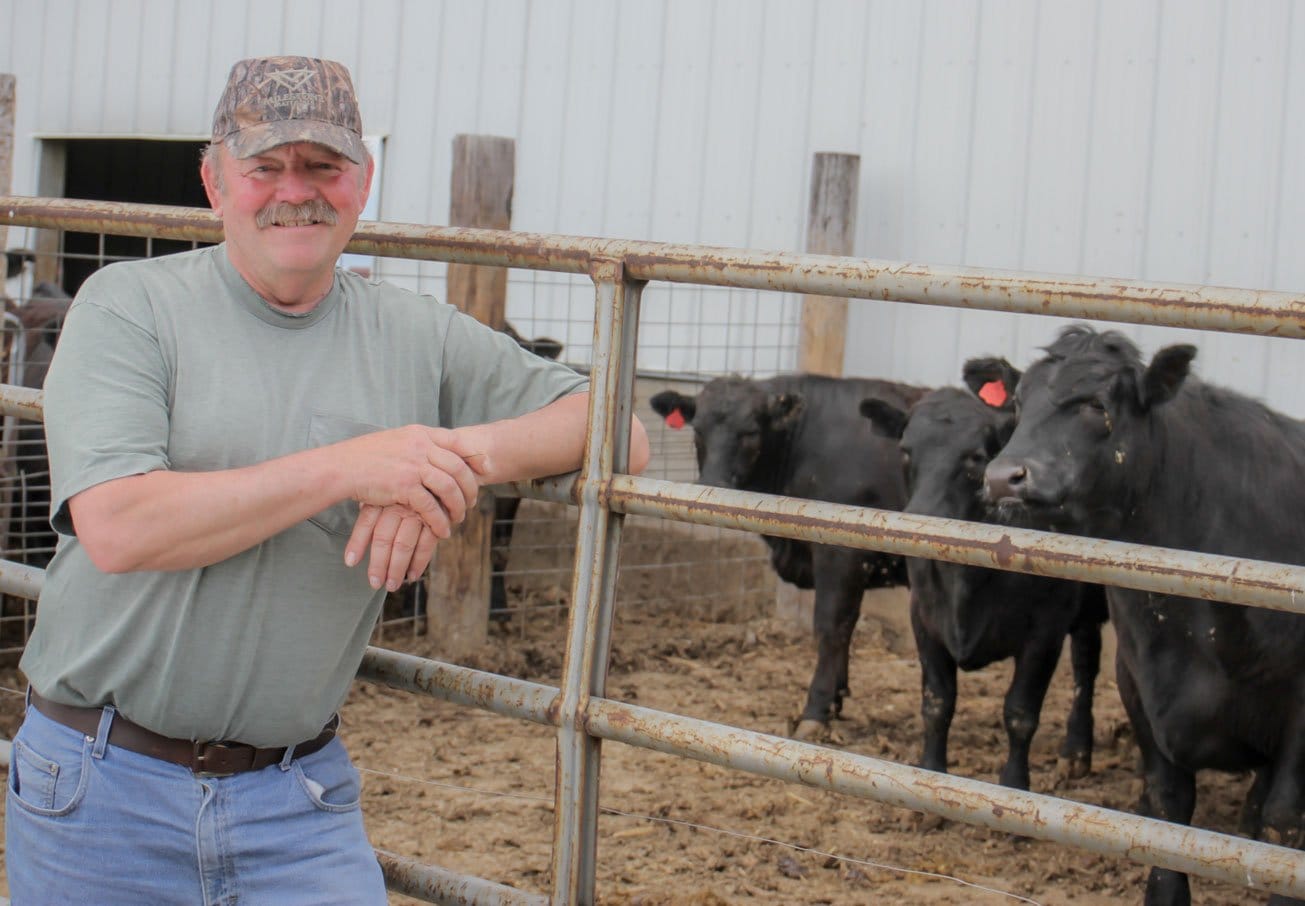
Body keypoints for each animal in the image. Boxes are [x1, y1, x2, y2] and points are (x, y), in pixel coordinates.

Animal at [652, 373, 929, 736]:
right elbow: (846, 628)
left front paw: (816, 710)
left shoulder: (840, 555)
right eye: (698, 429)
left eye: (750, 432)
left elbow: (831, 626)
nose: (712, 483)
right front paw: (836, 700)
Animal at [861, 357, 1106, 793]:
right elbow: (937, 702)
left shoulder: (1046, 629)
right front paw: (930, 770)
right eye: (906, 451)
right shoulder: (923, 617)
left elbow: (1021, 712)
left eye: (975, 457)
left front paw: (1014, 785)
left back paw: (1076, 751)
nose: (921, 514)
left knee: (1086, 663)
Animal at [986, 327, 1305, 906]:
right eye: (1018, 404)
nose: (1003, 477)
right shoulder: (1139, 684)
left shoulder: (1300, 709)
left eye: (1096, 404)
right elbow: (1167, 810)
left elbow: (1284, 824)